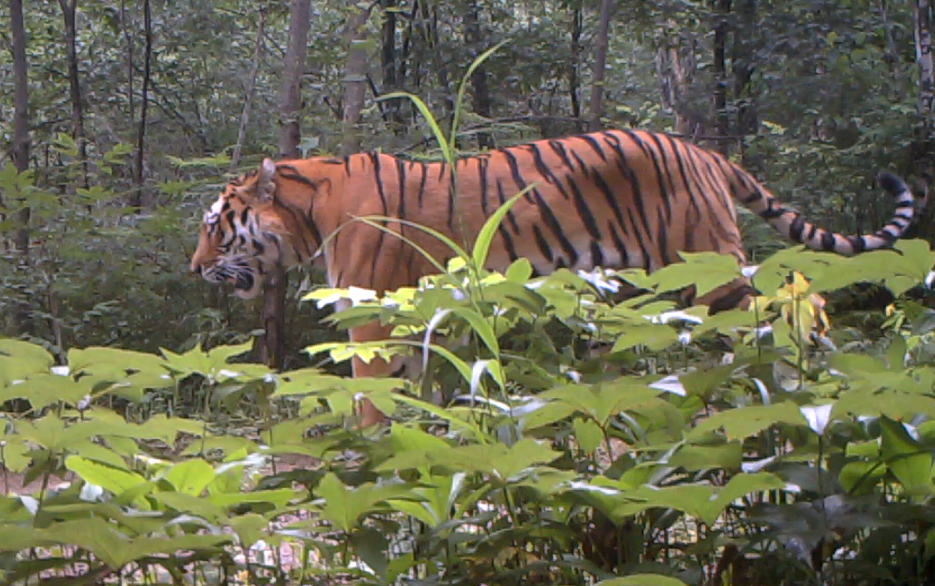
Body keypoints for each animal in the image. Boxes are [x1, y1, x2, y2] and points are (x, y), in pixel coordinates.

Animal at [190, 130, 916, 426]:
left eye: (215, 225)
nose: (194, 268)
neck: (308, 212)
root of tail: (705, 153)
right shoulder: (424, 321)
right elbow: (423, 395)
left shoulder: (373, 318)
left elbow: (371, 397)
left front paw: (368, 452)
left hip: (707, 269)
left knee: (779, 321)